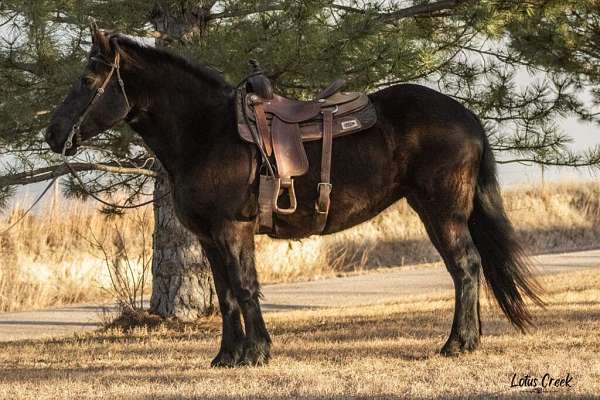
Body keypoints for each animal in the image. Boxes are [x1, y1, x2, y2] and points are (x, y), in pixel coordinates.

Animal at [47, 27, 544, 366]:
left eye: (88, 80)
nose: (53, 135)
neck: (206, 132)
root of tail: (466, 116)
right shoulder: (209, 238)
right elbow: (226, 295)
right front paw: (227, 356)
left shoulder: (232, 230)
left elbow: (245, 288)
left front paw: (257, 353)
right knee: (467, 269)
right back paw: (469, 341)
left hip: (442, 213)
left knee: (466, 267)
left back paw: (457, 343)